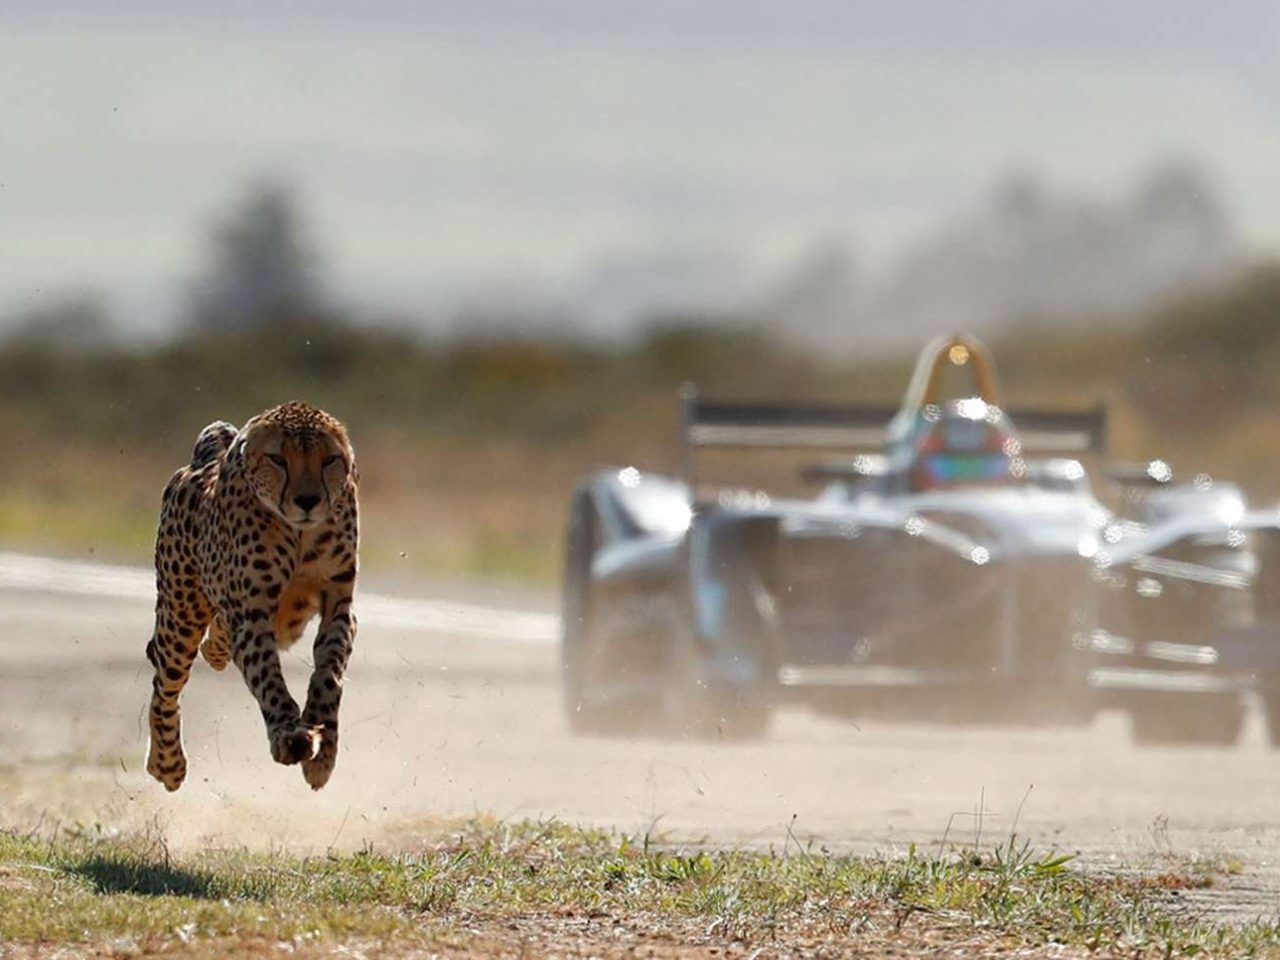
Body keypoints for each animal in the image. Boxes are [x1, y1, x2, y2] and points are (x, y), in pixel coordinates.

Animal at [147, 401, 363, 793]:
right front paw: (289, 734)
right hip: (180, 616)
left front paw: (323, 749)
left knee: (217, 638)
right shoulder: (251, 614)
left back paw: (214, 651)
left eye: (329, 460)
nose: (307, 501)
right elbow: (267, 676)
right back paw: (167, 763)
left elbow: (329, 673)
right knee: (164, 685)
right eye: (278, 459)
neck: (299, 534)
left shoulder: (339, 606)